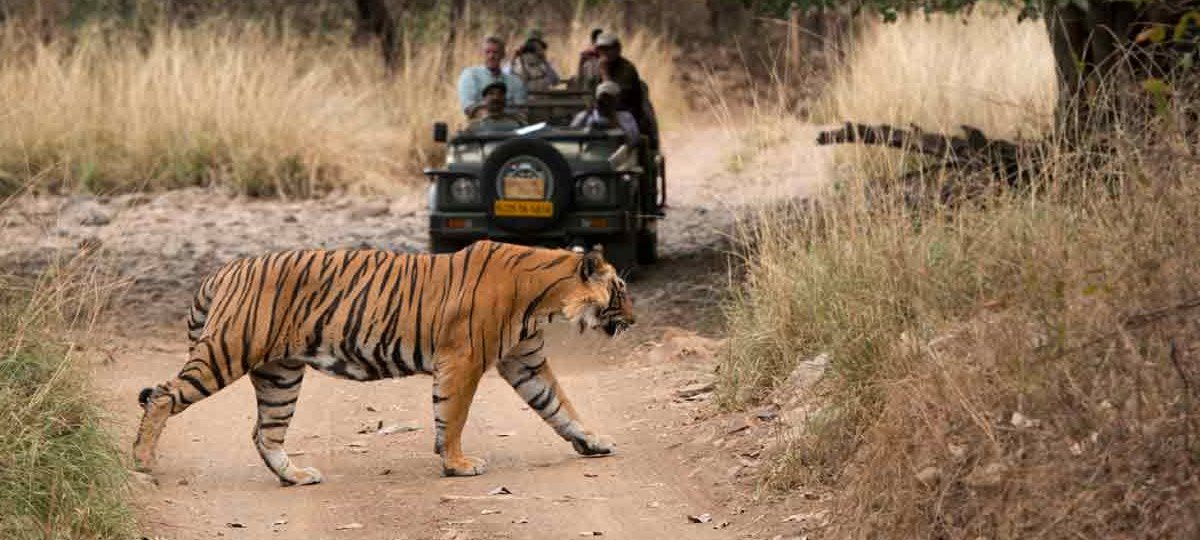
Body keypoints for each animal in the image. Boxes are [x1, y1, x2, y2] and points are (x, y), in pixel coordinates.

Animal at [130, 240, 633, 484]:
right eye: (621, 289)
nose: (633, 318)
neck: (544, 299)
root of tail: (223, 269)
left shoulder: (523, 361)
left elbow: (560, 406)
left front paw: (593, 442)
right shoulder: (464, 359)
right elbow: (453, 415)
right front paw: (457, 464)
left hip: (280, 375)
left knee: (264, 433)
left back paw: (296, 476)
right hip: (228, 351)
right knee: (162, 395)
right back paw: (142, 461)